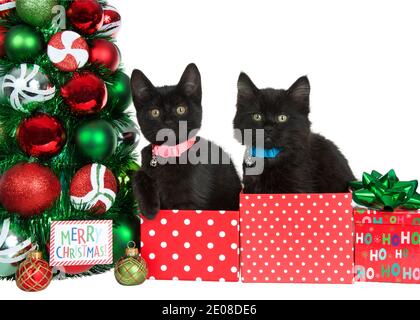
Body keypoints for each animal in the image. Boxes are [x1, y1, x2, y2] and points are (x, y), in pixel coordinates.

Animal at [131, 63, 243, 219]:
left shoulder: (188, 203)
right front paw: (149, 209)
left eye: (181, 109)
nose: (168, 121)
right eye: (155, 112)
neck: (170, 154)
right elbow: (138, 174)